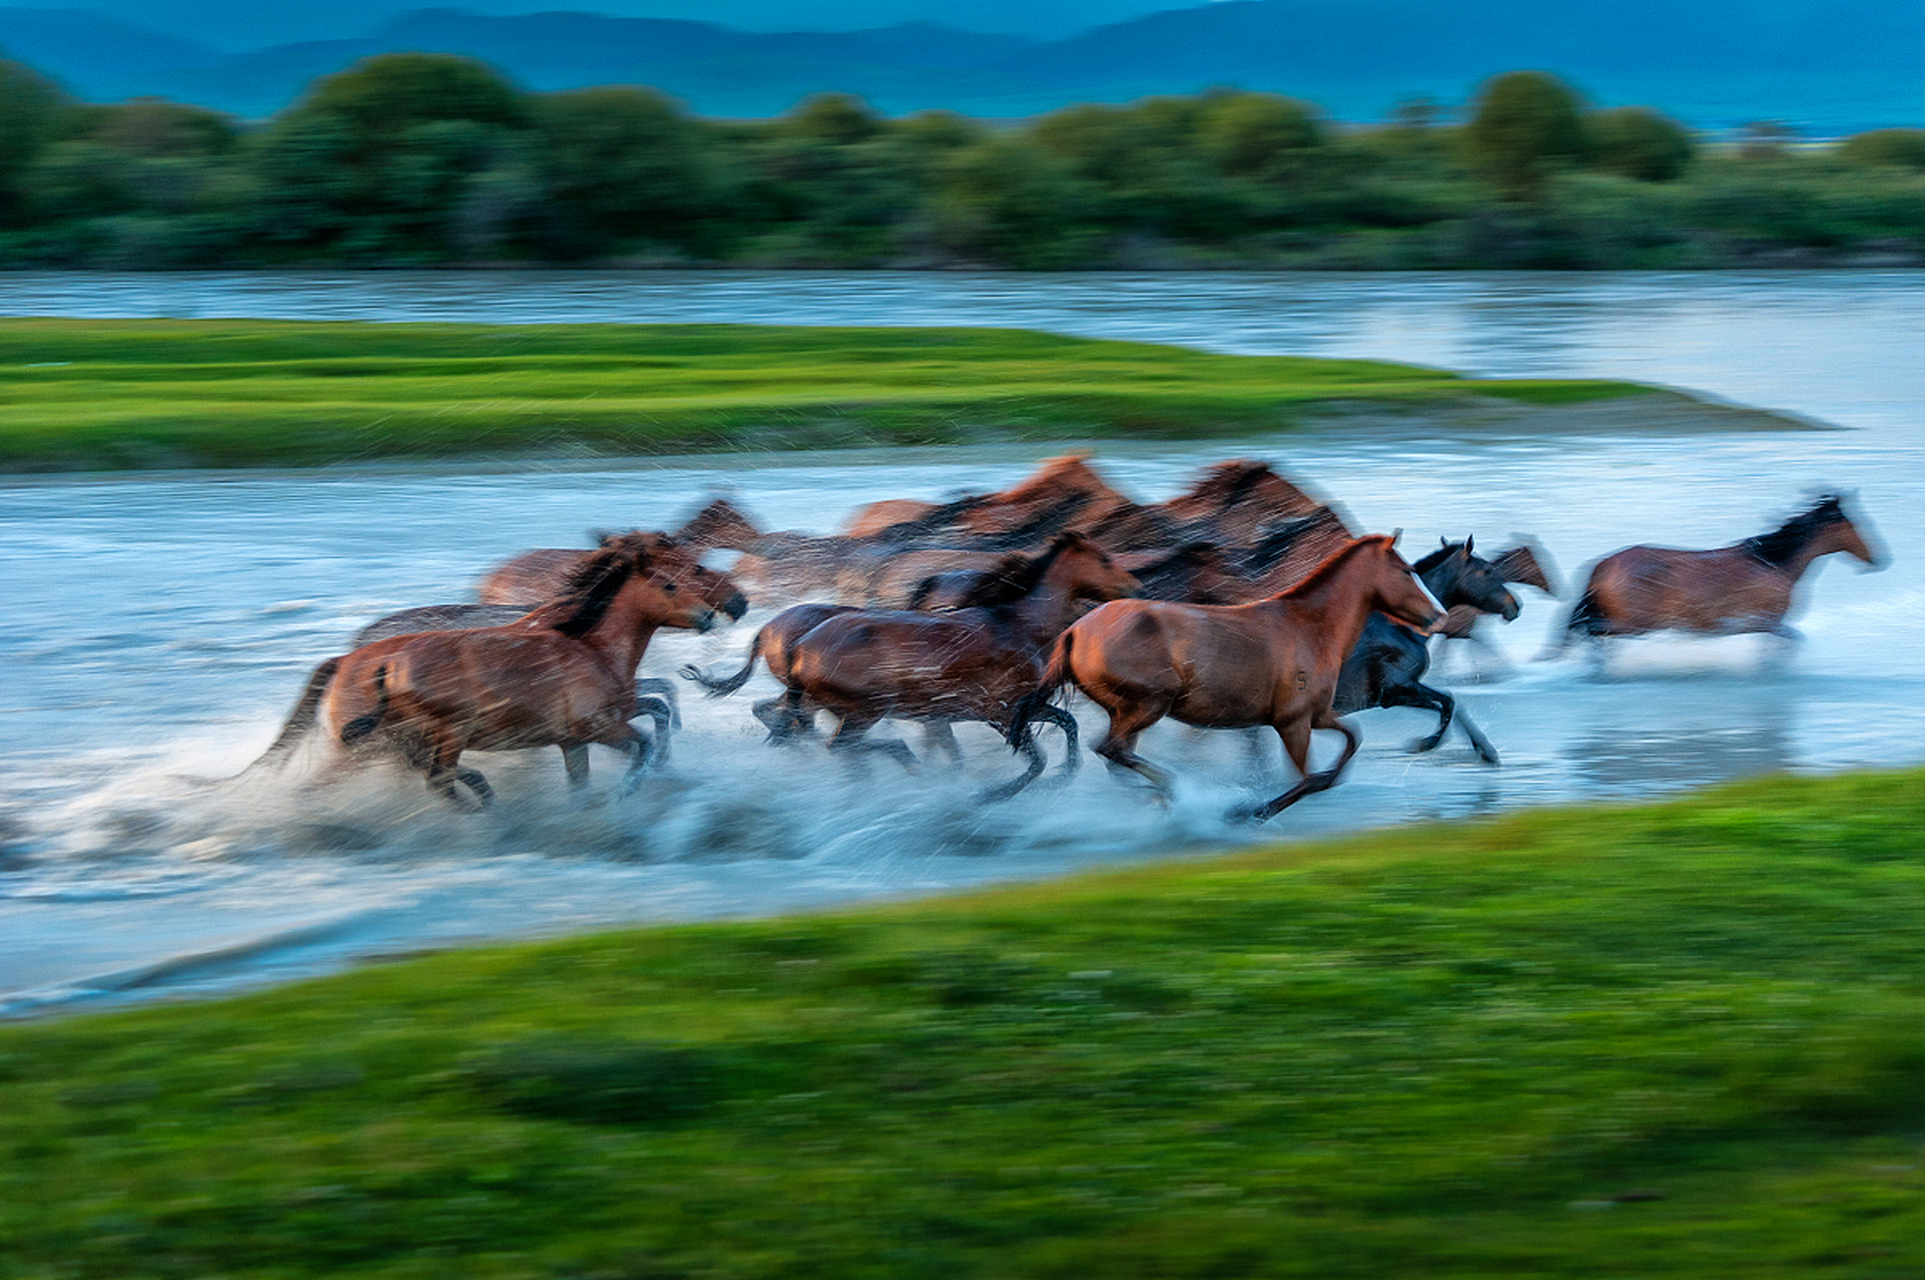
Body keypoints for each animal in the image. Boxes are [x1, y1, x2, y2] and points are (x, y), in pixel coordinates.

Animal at [250, 527, 743, 808]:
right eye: (689, 570)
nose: (735, 603)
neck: (582, 635)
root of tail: (345, 659)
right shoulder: (597, 723)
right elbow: (651, 719)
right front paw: (637, 780)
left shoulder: (590, 725)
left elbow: (657, 703)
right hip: (383, 747)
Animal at [693, 531, 1139, 793]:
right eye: (1104, 559)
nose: (1135, 586)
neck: (1017, 624)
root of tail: (794, 642)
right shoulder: (999, 711)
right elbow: (1036, 758)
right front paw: (995, 791)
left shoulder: (1009, 709)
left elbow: (1069, 725)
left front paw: (1069, 772)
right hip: (862, 712)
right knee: (838, 743)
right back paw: (894, 762)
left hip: (831, 707)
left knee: (807, 732)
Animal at [1008, 535, 1447, 819]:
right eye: (1407, 571)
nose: (1438, 616)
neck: (1311, 627)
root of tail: (1075, 632)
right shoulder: (1292, 721)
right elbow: (1310, 777)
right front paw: (1252, 809)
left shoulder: (1318, 715)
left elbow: (1349, 744)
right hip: (1149, 704)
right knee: (1112, 749)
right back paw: (1175, 790)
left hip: (1127, 711)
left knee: (1116, 756)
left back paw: (1158, 796)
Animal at [1332, 535, 1524, 762]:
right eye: (1487, 570)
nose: (1516, 606)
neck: (1402, 629)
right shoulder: (1396, 687)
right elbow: (1449, 702)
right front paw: (1425, 743)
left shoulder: (1393, 696)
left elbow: (1448, 707)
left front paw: (1486, 751)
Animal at [1547, 490, 1878, 658]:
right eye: (1854, 524)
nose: (1877, 558)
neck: (1774, 564)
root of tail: (1602, 567)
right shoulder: (1768, 621)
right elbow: (1787, 642)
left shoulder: (1763, 625)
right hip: (1632, 624)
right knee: (1593, 635)